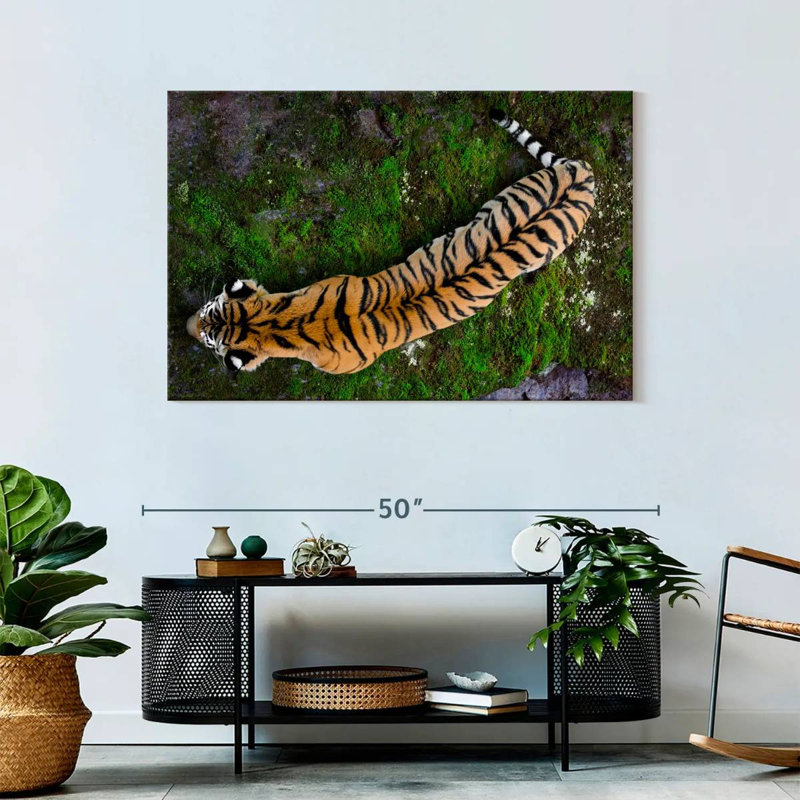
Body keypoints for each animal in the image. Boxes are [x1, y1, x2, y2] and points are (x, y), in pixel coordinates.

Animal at [186, 109, 595, 375]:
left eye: (207, 339)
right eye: (205, 311)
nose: (185, 324)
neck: (276, 322)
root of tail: (583, 172)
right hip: (502, 199)